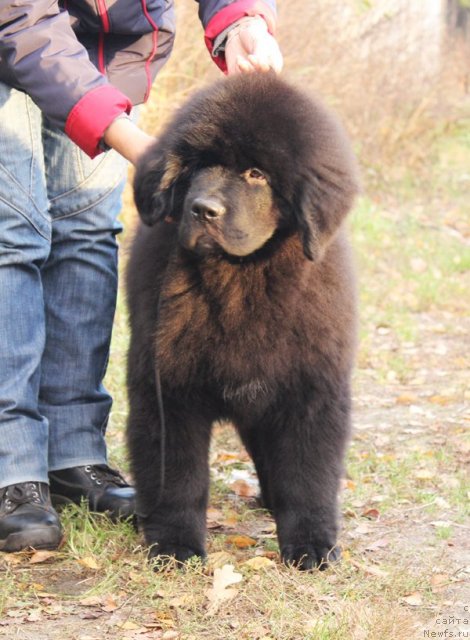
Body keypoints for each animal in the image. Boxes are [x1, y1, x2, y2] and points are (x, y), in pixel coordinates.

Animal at [126, 71, 358, 568]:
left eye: (256, 174)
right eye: (197, 166)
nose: (203, 209)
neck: (239, 280)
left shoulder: (310, 387)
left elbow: (308, 473)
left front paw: (312, 543)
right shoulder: (167, 386)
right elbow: (177, 475)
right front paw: (174, 544)